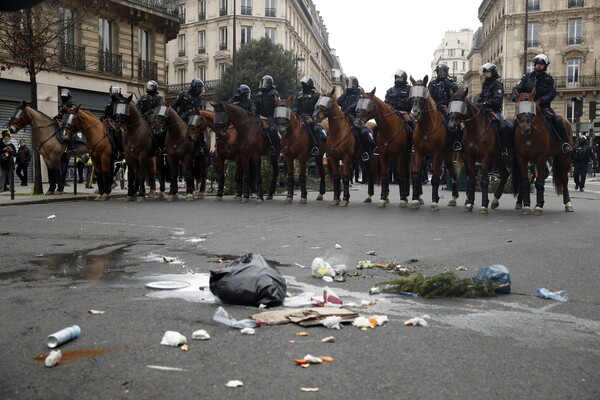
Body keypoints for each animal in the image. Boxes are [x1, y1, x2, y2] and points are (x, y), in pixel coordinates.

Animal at [408, 76, 460, 211]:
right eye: (412, 94)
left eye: (424, 94)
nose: (414, 113)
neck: (427, 127)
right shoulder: (418, 152)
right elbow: (416, 176)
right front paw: (415, 200)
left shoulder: (437, 155)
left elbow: (436, 179)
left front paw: (434, 202)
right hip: (427, 157)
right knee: (421, 173)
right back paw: (420, 197)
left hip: (447, 156)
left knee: (453, 173)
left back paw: (454, 198)